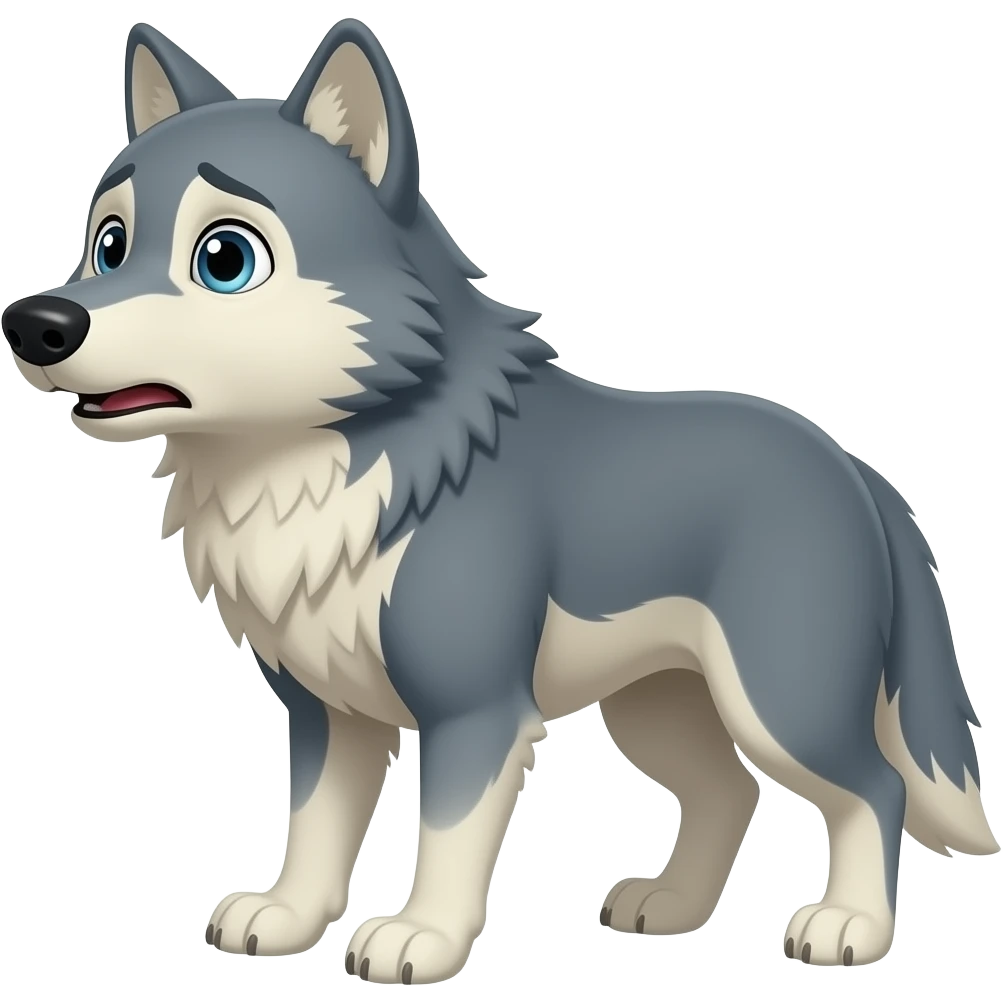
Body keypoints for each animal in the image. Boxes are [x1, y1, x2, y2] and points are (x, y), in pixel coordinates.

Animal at [2, 17, 996, 980]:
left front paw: (419, 938)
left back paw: (848, 926)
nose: (36, 324)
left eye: (224, 257)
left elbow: (445, 837)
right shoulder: (330, 710)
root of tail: (853, 465)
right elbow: (316, 828)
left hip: (779, 696)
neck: (322, 466)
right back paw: (671, 906)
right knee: (729, 787)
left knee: (873, 785)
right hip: (656, 705)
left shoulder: (473, 710)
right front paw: (285, 917)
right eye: (107, 246)